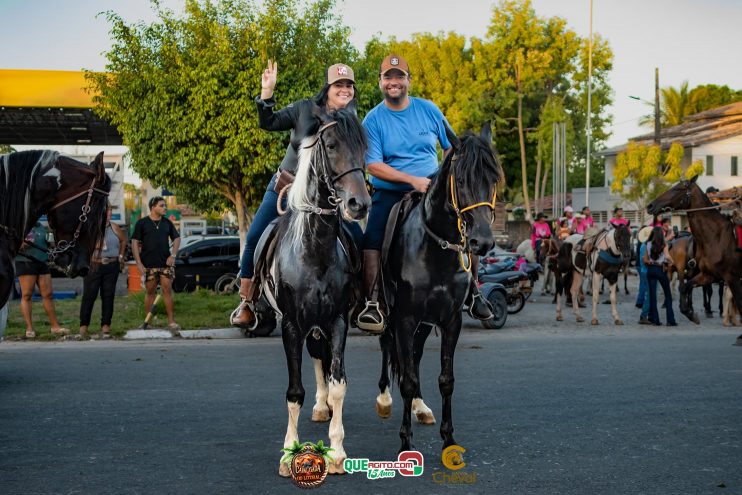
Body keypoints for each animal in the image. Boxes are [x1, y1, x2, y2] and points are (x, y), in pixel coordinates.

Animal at [258, 111, 370, 476]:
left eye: (364, 147)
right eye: (331, 145)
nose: (358, 204)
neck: (315, 250)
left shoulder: (336, 321)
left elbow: (337, 383)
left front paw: (337, 451)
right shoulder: (291, 325)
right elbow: (295, 391)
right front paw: (289, 452)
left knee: (322, 359)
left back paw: (325, 409)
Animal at [374, 124, 502, 458]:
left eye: (494, 180)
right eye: (461, 180)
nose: (482, 242)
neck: (434, 249)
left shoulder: (450, 320)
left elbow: (445, 379)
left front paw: (449, 438)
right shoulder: (404, 318)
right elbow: (405, 379)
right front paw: (405, 441)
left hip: (423, 323)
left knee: (414, 357)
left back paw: (420, 407)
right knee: (385, 348)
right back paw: (378, 400)